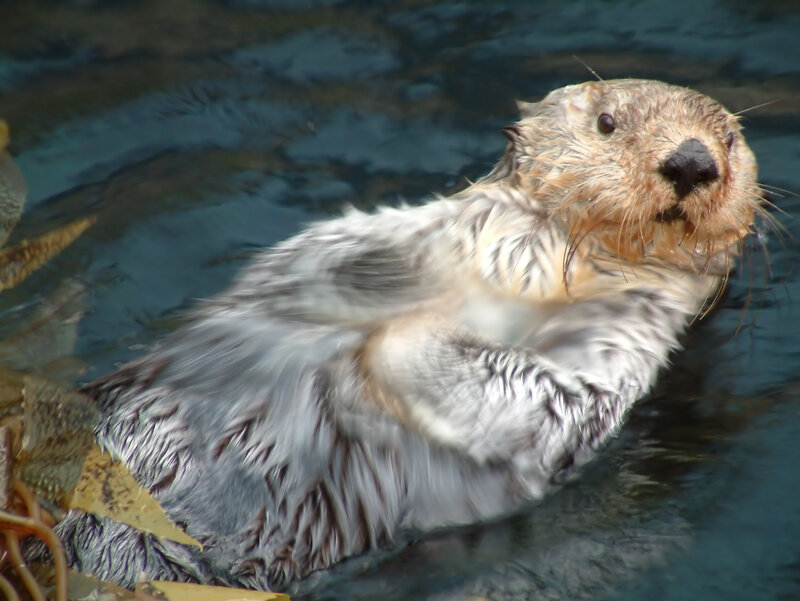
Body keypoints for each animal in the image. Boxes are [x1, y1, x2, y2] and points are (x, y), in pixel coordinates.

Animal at [51, 79, 765, 590]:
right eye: (608, 122)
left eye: (730, 138)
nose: (693, 160)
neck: (554, 276)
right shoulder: (439, 228)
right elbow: (327, 254)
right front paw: (375, 286)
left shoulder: (621, 347)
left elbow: (542, 401)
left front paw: (396, 339)